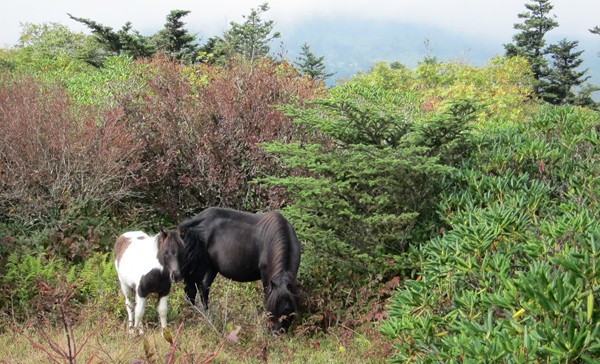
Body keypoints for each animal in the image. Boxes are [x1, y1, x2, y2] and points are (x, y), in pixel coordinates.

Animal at [177, 206, 300, 334]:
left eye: (287, 309)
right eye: (270, 309)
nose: (276, 333)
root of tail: (193, 223)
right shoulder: (266, 277)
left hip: (211, 268)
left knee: (203, 290)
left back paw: (209, 316)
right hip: (198, 268)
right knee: (191, 292)